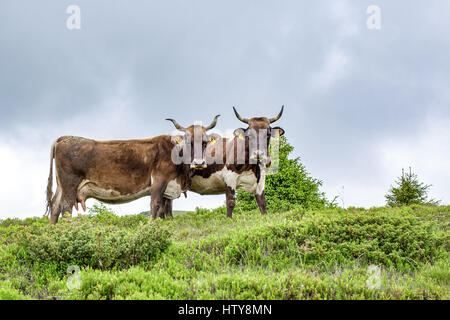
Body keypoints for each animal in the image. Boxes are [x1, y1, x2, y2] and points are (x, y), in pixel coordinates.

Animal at [45, 116, 220, 224]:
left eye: (205, 142)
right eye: (189, 141)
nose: (199, 162)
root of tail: (64, 138)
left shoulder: (169, 188)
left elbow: (166, 212)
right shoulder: (159, 181)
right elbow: (155, 205)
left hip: (62, 186)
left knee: (55, 207)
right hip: (70, 184)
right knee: (66, 208)